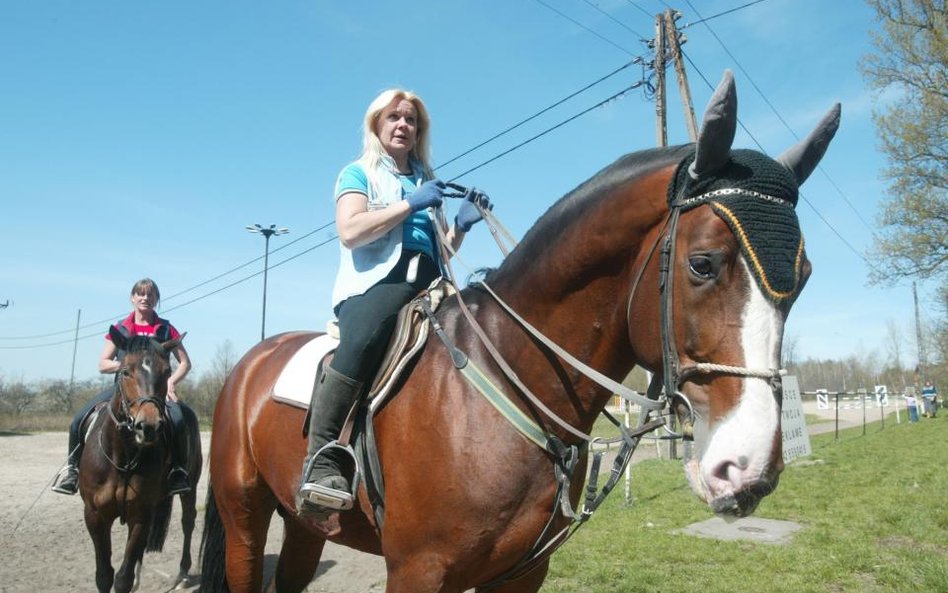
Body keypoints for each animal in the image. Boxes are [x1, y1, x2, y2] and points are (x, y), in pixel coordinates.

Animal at [78, 326, 203, 592]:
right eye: (125, 371)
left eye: (167, 372)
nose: (148, 426)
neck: (122, 457)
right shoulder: (95, 515)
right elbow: (104, 575)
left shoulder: (140, 515)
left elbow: (122, 578)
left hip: (191, 486)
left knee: (188, 522)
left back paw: (182, 573)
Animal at [198, 73, 836, 592]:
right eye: (702, 263)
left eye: (804, 277)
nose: (748, 470)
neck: (511, 380)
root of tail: (252, 361)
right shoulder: (418, 570)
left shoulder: (522, 573)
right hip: (246, 516)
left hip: (305, 525)